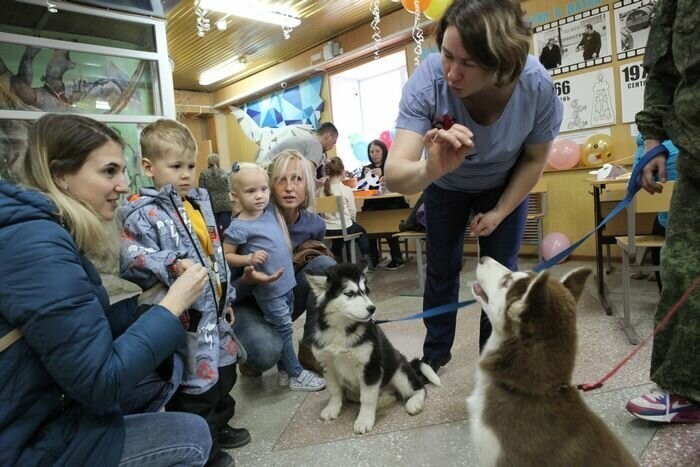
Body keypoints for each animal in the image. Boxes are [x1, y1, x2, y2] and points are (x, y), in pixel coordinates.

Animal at [304, 264, 438, 436]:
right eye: (349, 293)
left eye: (365, 291)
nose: (372, 308)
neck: (341, 330)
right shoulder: (327, 365)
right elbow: (334, 390)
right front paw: (332, 408)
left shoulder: (370, 366)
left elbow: (367, 398)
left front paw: (364, 420)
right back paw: (382, 401)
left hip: (398, 371)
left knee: (419, 388)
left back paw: (413, 403)